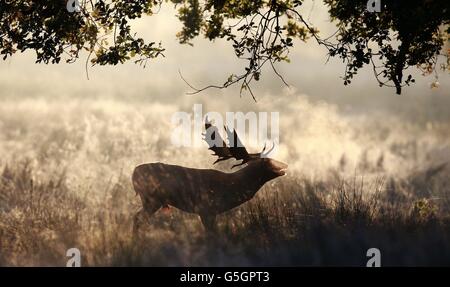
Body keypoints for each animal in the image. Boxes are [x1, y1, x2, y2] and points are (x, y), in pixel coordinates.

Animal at [131, 119, 288, 234]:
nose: (285, 165)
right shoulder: (206, 209)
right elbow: (211, 234)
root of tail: (133, 174)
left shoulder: (211, 212)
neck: (231, 189)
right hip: (152, 198)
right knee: (138, 218)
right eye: (268, 161)